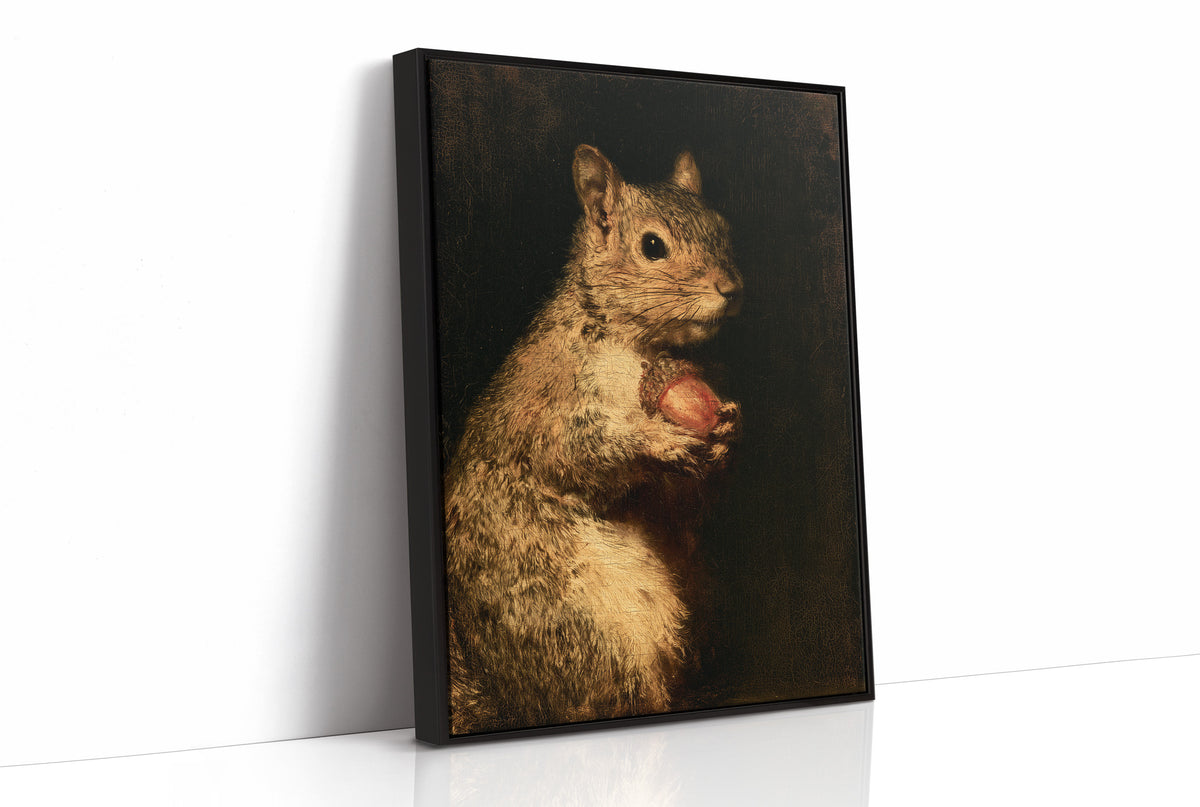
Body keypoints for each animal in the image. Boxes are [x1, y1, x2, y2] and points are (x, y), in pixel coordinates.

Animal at [443, 144, 744, 735]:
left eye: (723, 226)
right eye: (652, 246)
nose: (731, 287)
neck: (637, 343)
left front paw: (726, 428)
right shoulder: (552, 407)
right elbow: (580, 452)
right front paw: (658, 441)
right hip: (586, 627)